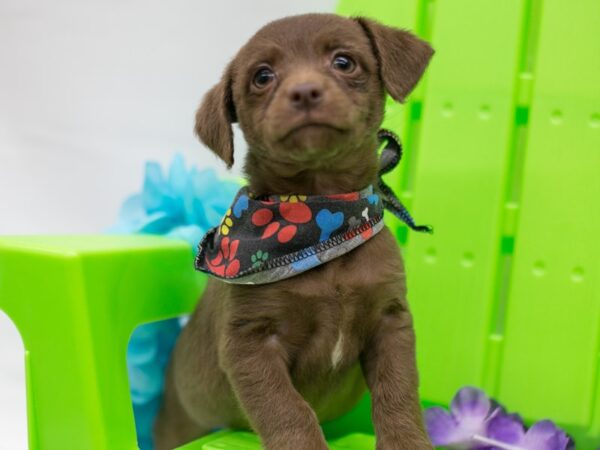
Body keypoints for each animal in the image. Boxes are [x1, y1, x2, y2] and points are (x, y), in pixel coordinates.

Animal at [155, 14, 434, 450]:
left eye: (343, 62)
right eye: (262, 76)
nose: (304, 91)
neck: (322, 223)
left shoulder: (391, 323)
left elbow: (398, 393)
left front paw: (406, 441)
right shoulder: (251, 342)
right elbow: (288, 412)